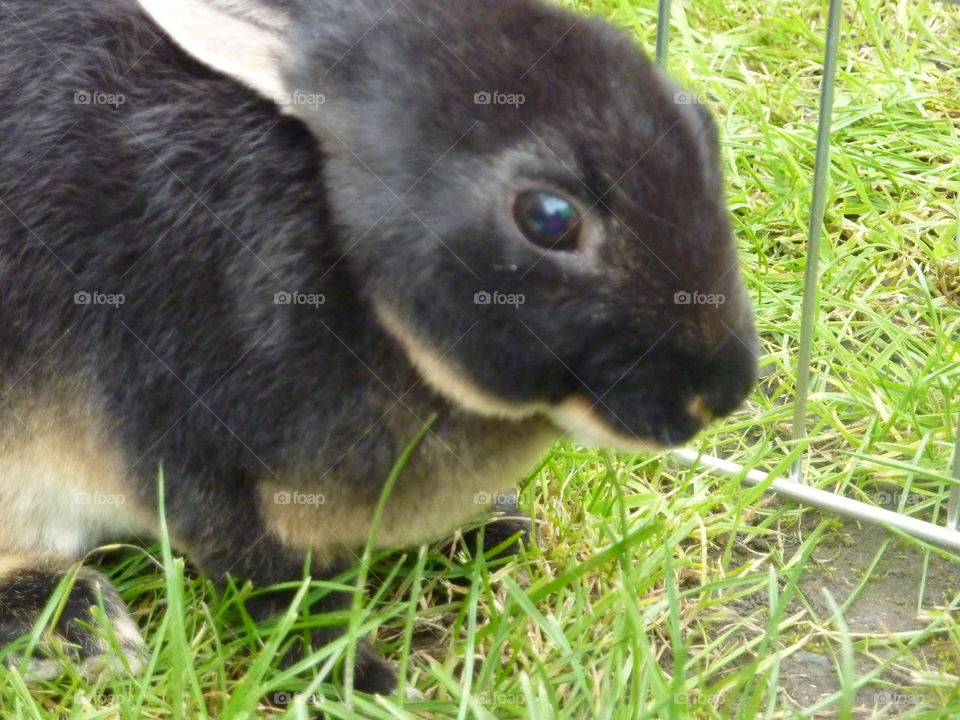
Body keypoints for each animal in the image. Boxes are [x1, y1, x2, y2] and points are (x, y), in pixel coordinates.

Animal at [0, 0, 756, 696]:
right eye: (548, 217)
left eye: (704, 129)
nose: (719, 392)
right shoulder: (195, 462)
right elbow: (282, 594)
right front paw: (366, 684)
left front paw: (500, 528)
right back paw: (77, 626)